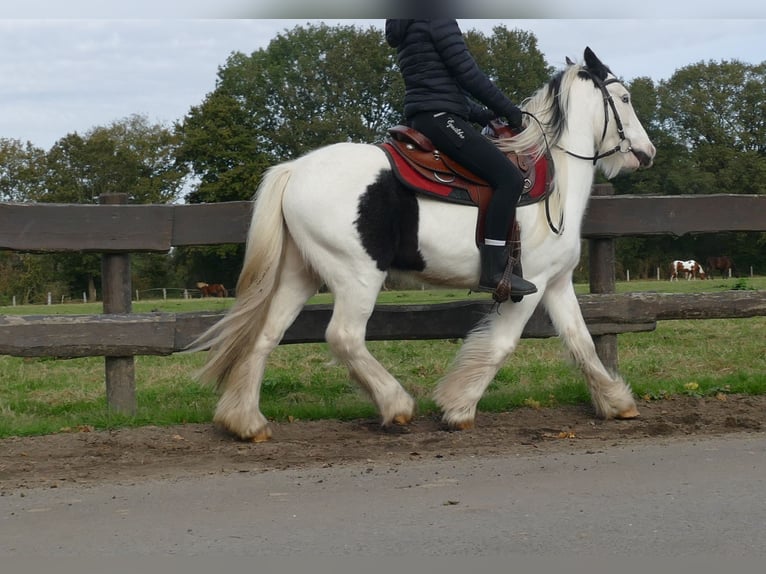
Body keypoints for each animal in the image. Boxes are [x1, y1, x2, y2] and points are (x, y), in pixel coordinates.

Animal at [189, 49, 656, 446]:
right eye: (625, 98)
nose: (647, 153)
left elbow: (582, 342)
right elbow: (501, 346)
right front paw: (457, 408)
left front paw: (617, 402)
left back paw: (246, 422)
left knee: (266, 336)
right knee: (344, 337)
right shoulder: (530, 286)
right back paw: (396, 405)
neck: (553, 184)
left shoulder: (557, 284)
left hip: (299, 274)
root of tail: (294, 170)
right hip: (357, 276)